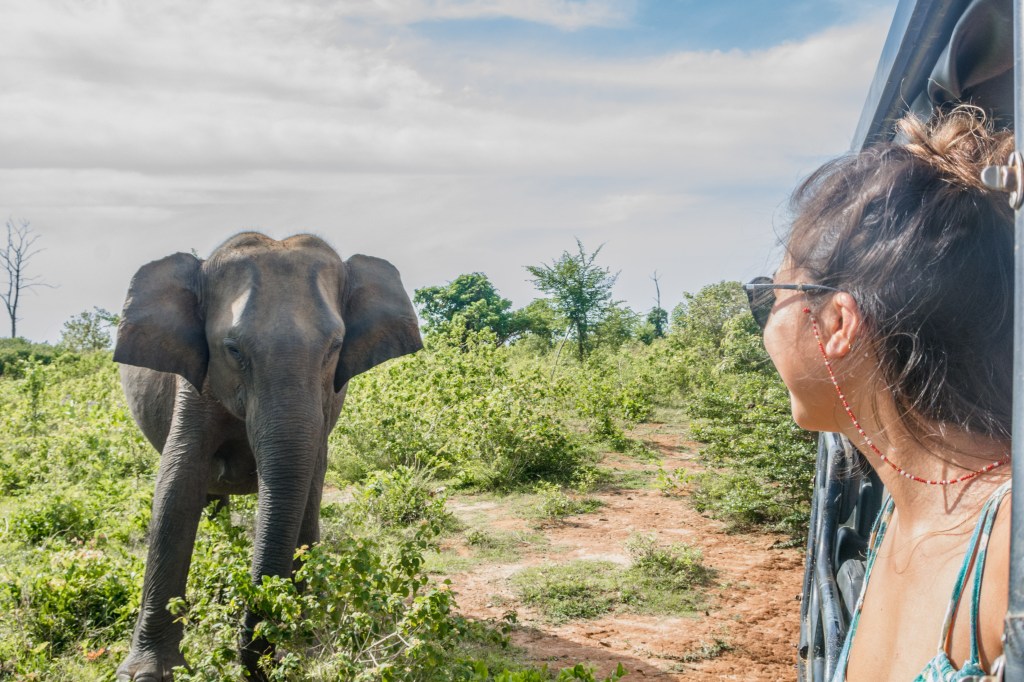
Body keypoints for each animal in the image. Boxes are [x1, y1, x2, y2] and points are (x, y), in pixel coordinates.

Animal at [111, 232, 422, 681]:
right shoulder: (195, 384)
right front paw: (147, 674)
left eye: (336, 346)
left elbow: (309, 481)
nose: (267, 661)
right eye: (232, 349)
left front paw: (304, 625)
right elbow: (176, 485)